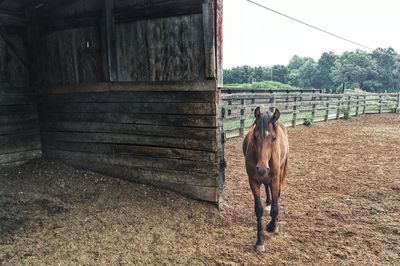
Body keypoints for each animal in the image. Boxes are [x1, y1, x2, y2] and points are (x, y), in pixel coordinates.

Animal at [242, 106, 290, 251]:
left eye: (274, 138)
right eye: (255, 136)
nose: (262, 168)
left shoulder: (275, 179)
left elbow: (275, 207)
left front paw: (273, 226)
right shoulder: (253, 180)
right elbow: (259, 209)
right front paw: (259, 242)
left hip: (280, 172)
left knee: (277, 194)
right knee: (266, 187)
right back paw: (268, 202)